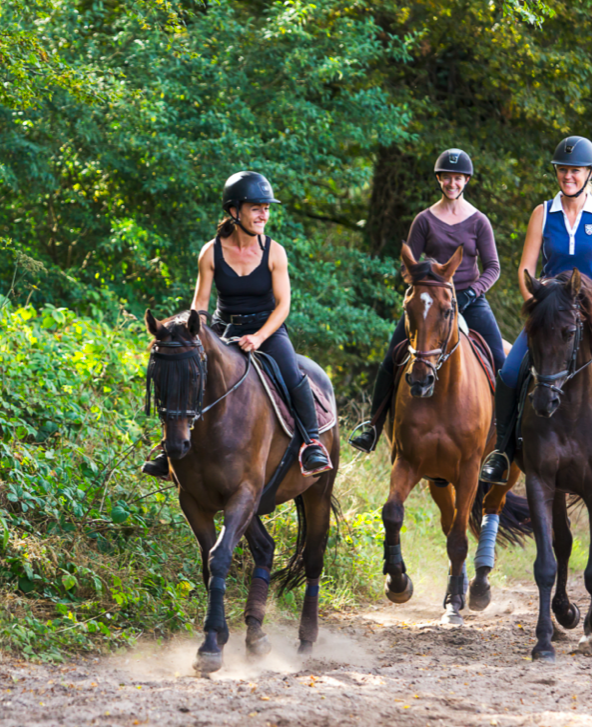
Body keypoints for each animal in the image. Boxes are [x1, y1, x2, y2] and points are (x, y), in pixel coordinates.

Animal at [143, 310, 338, 672]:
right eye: (156, 376)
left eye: (195, 376)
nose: (176, 446)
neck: (216, 419)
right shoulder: (194, 501)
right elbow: (208, 564)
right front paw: (220, 634)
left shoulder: (242, 494)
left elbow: (219, 558)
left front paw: (210, 645)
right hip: (257, 503)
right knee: (265, 548)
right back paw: (256, 635)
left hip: (315, 492)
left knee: (313, 559)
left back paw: (306, 640)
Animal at [382, 246, 520, 624]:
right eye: (408, 308)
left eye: (447, 310)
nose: (419, 380)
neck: (442, 395)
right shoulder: (408, 461)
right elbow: (393, 513)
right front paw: (397, 582)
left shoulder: (471, 469)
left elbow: (459, 538)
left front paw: (456, 604)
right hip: (439, 479)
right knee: (449, 519)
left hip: (507, 471)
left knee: (490, 509)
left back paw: (479, 586)